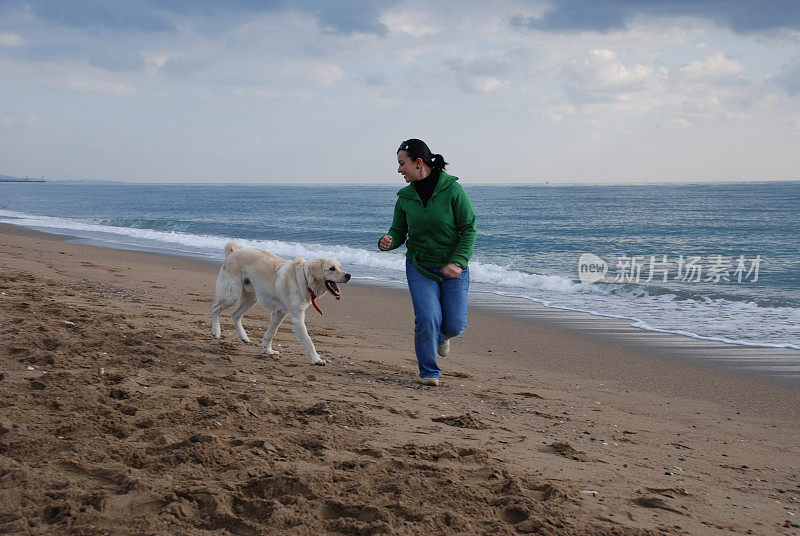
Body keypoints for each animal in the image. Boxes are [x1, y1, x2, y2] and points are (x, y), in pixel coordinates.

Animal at [212, 242, 350, 364]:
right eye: (332, 269)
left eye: (340, 267)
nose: (349, 275)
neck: (304, 279)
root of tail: (233, 251)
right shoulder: (297, 318)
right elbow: (308, 340)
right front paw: (316, 360)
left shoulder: (279, 313)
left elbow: (270, 333)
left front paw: (268, 350)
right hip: (232, 295)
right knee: (215, 308)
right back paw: (216, 331)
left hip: (251, 298)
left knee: (235, 315)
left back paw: (243, 337)